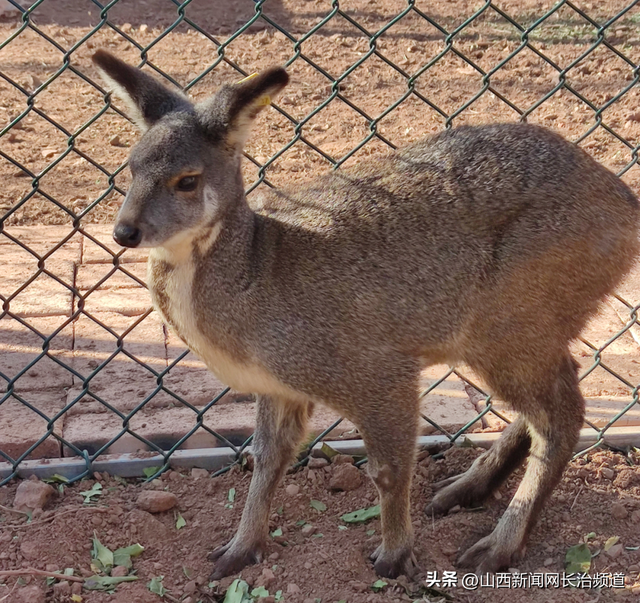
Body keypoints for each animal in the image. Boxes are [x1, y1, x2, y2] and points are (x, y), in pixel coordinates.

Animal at [94, 50, 640, 580]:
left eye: (187, 180)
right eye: (129, 167)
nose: (125, 232)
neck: (262, 274)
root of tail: (626, 207)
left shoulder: (379, 370)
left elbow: (389, 468)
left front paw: (394, 558)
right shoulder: (279, 387)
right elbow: (266, 459)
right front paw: (237, 550)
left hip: (512, 323)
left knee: (562, 414)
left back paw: (495, 546)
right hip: (522, 332)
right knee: (554, 401)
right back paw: (463, 491)